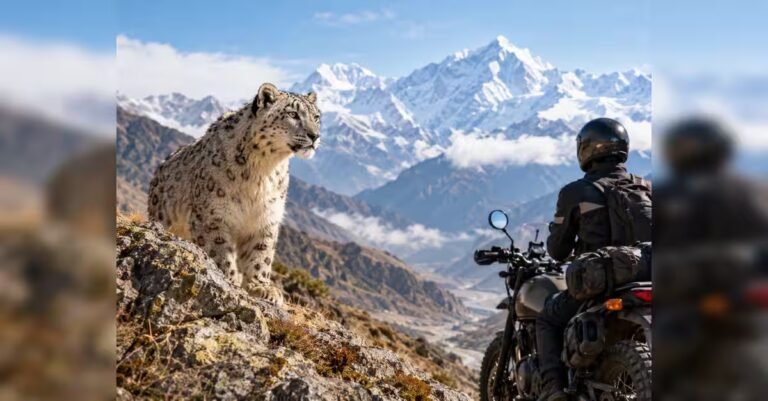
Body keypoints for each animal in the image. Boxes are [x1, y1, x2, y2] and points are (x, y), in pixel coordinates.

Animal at [147, 83, 321, 306]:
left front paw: (261, 287)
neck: (263, 171)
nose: (315, 136)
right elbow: (219, 251)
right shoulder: (213, 216)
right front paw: (230, 280)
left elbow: (261, 255)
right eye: (293, 114)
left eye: (316, 117)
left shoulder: (266, 218)